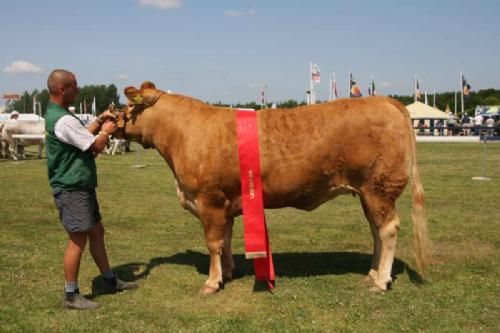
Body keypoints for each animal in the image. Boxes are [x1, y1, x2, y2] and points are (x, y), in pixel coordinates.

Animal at [113, 82, 430, 294]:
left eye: (128, 105)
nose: (112, 118)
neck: (183, 135)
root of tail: (386, 101)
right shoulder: (225, 203)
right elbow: (226, 239)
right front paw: (228, 272)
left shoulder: (208, 200)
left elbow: (213, 243)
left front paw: (212, 282)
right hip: (368, 193)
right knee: (376, 231)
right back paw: (372, 274)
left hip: (379, 188)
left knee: (387, 229)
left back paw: (381, 281)